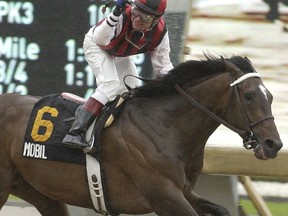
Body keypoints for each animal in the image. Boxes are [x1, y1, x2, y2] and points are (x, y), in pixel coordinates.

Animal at [0, 55, 284, 214]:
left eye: (270, 96)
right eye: (249, 96)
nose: (274, 144)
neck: (166, 127)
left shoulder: (184, 192)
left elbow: (221, 209)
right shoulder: (164, 196)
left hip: (37, 190)